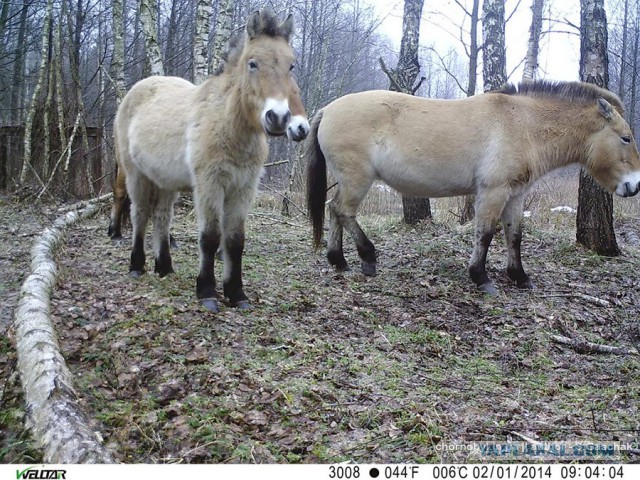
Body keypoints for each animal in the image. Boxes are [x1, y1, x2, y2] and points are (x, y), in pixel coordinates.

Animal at [115, 11, 310, 314]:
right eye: (252, 63)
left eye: (291, 65)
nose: (278, 118)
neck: (227, 124)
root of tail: (137, 90)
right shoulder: (210, 184)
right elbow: (210, 237)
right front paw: (206, 291)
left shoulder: (243, 188)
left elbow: (235, 240)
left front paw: (236, 293)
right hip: (136, 174)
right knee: (140, 214)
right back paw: (137, 266)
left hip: (165, 182)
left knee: (162, 217)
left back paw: (164, 267)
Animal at [304, 80, 640, 294]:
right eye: (625, 137)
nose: (634, 186)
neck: (523, 125)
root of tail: (327, 110)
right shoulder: (493, 192)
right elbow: (486, 233)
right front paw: (481, 278)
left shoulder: (515, 194)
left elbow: (514, 236)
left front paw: (519, 277)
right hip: (357, 179)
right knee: (343, 211)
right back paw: (367, 258)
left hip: (349, 180)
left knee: (334, 211)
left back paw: (339, 261)